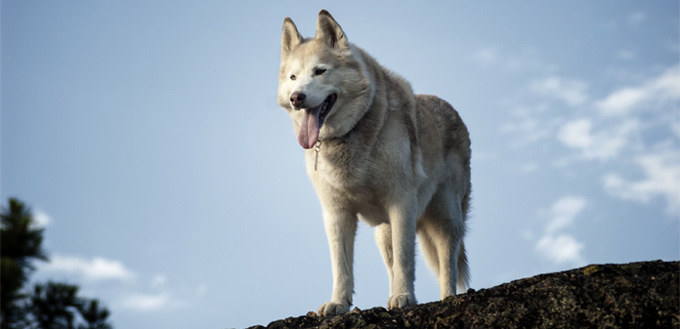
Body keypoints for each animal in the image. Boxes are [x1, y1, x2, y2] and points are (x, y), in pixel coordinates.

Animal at [278, 9, 470, 314]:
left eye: (320, 71)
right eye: (293, 77)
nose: (297, 98)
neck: (350, 134)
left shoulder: (400, 202)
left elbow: (406, 260)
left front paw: (404, 297)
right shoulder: (336, 213)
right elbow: (341, 266)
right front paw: (338, 303)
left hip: (445, 217)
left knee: (446, 263)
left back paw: (447, 298)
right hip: (383, 233)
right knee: (393, 265)